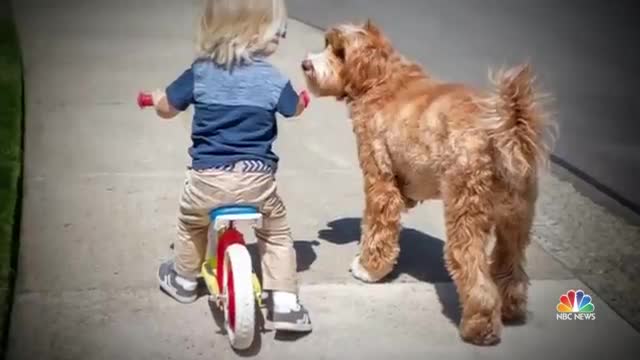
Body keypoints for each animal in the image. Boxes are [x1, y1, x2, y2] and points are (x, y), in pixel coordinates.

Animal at [302, 20, 556, 346]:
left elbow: (377, 227)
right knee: (511, 266)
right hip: (516, 219)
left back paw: (479, 328)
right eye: (327, 44)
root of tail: (505, 132)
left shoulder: (380, 181)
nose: (306, 64)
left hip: (466, 211)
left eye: (339, 51)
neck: (380, 78)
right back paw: (510, 309)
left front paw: (368, 268)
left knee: (474, 274)